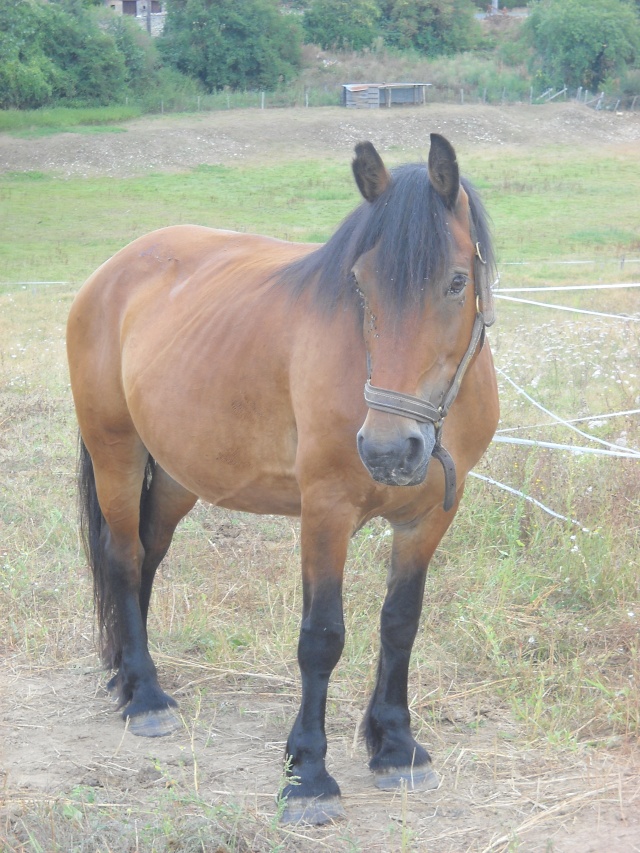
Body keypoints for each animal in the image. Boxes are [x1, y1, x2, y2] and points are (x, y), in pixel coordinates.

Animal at [69, 135, 500, 824]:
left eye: (457, 282)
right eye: (360, 284)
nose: (389, 449)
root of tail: (112, 271)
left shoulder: (427, 520)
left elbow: (400, 623)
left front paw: (396, 746)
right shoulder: (325, 511)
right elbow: (321, 638)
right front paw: (307, 774)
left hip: (176, 474)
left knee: (147, 555)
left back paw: (129, 676)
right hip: (117, 453)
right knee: (123, 556)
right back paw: (146, 699)